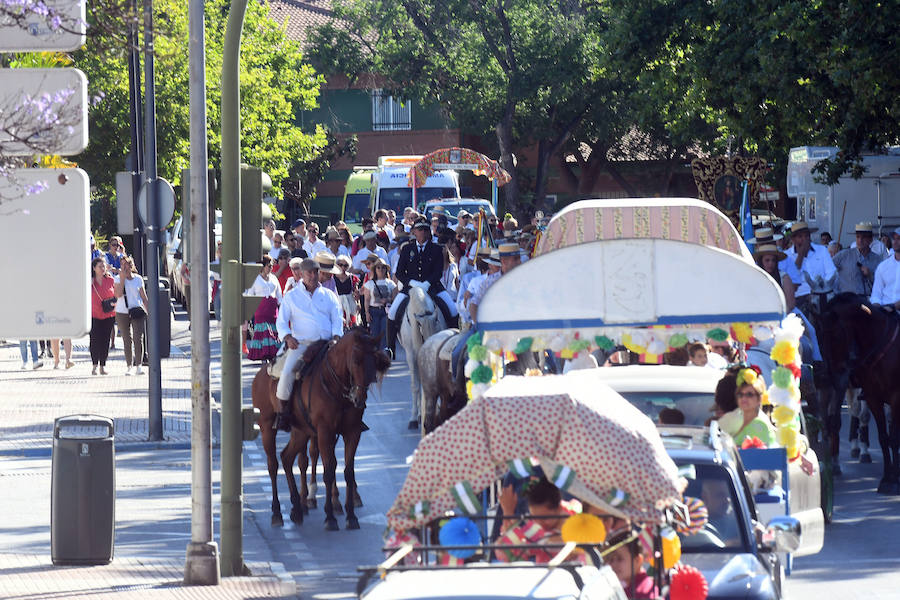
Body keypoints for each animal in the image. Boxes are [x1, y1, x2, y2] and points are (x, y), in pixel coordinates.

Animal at [251, 328, 388, 528]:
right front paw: (330, 517)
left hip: (300, 431)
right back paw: (277, 512)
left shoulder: (352, 432)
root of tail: (261, 374)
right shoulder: (325, 432)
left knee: (287, 458)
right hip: (267, 428)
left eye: (374, 360)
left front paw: (351, 516)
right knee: (273, 465)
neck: (335, 385)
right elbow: (329, 471)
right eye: (356, 360)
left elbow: (348, 471)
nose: (359, 397)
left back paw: (296, 508)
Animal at [400, 286, 444, 426]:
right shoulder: (411, 356)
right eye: (420, 328)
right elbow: (415, 386)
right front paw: (413, 418)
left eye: (437, 322)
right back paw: (418, 415)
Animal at [820, 292, 900, 494]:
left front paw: (894, 481)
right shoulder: (873, 397)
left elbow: (894, 438)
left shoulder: (896, 398)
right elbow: (883, 437)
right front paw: (886, 479)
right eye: (821, 337)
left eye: (837, 336)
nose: (833, 375)